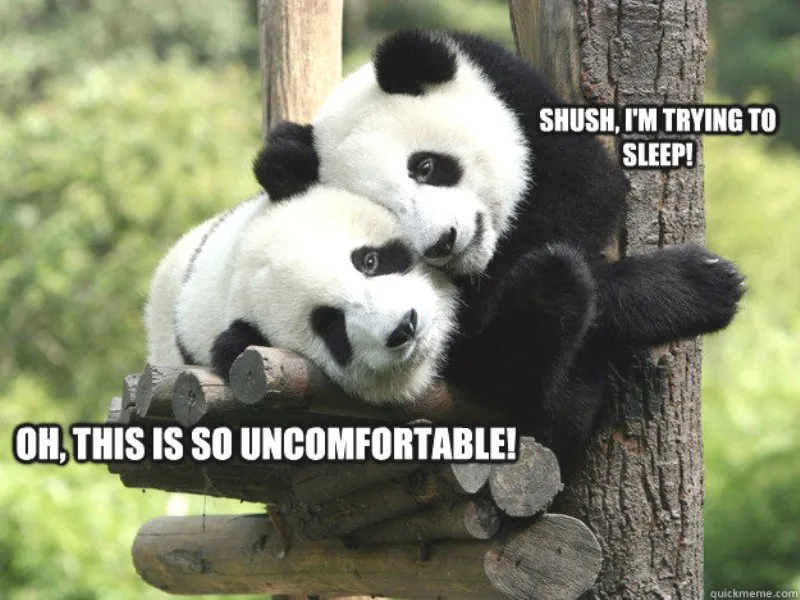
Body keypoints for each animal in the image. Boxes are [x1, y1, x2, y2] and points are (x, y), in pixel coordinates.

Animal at [256, 30, 745, 473]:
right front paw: (697, 286)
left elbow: (587, 189)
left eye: (426, 166)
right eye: (388, 212)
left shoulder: (518, 98)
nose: (443, 242)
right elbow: (482, 337)